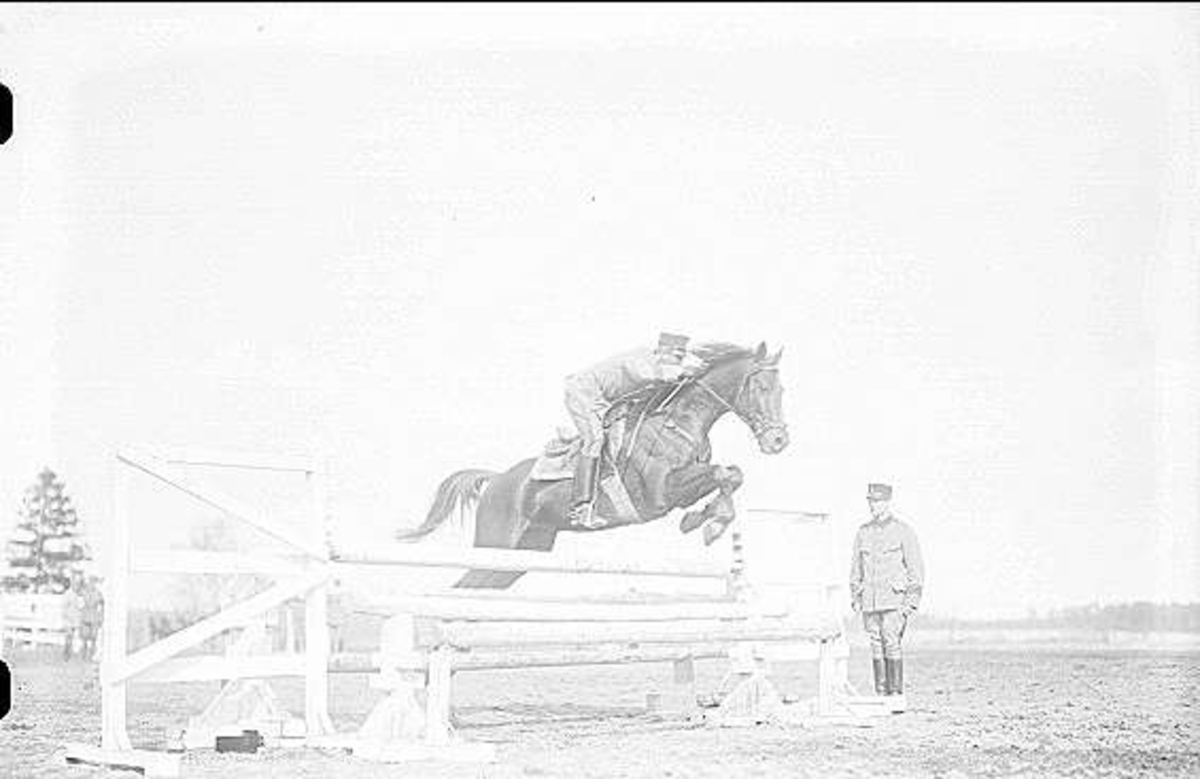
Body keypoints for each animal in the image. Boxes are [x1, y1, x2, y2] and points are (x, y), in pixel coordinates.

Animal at [398, 342, 789, 588]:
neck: (679, 422)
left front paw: (709, 519)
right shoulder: (662, 494)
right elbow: (723, 472)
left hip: (523, 555)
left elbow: (732, 474)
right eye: (761, 387)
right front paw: (706, 522)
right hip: (498, 548)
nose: (779, 441)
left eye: (782, 390)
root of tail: (496, 480)